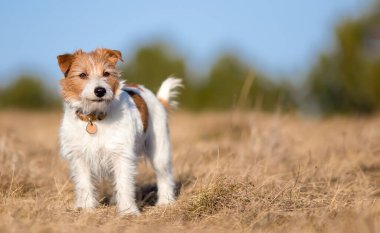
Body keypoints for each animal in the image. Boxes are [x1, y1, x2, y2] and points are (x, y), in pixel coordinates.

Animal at [56, 48, 183, 214]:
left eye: (106, 73)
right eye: (82, 75)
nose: (100, 91)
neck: (94, 118)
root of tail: (156, 98)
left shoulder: (121, 155)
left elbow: (124, 184)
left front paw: (128, 211)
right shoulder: (79, 157)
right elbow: (84, 184)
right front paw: (86, 208)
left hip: (159, 150)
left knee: (164, 175)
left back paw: (165, 202)